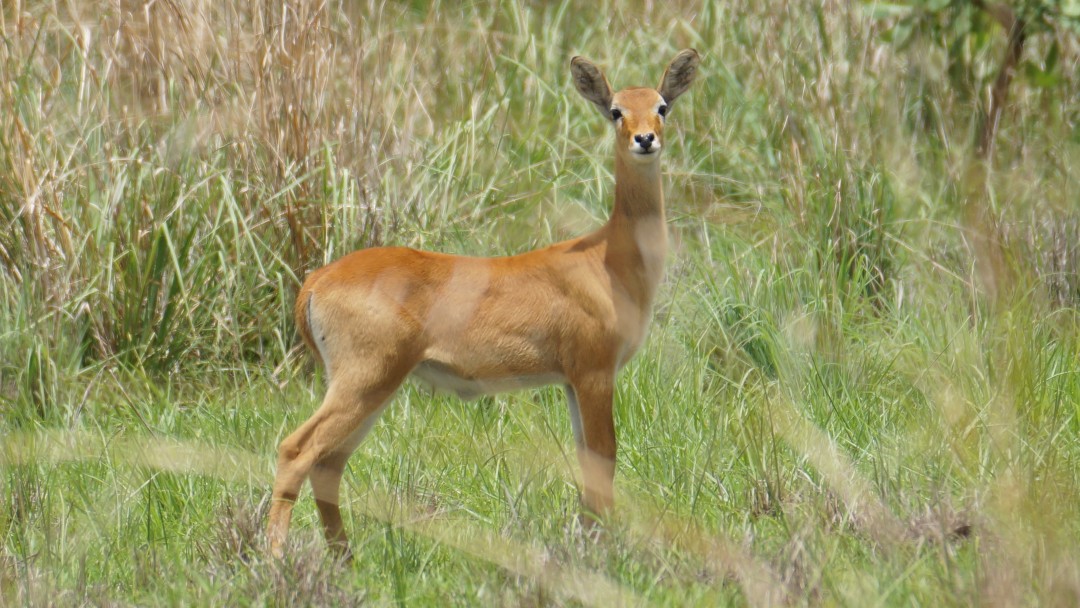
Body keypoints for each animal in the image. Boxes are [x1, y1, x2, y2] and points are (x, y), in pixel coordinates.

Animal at [272, 49, 699, 557]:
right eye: (615, 110)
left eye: (661, 106)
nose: (645, 139)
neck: (608, 260)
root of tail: (315, 280)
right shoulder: (594, 372)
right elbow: (604, 459)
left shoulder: (571, 381)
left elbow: (587, 463)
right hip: (365, 379)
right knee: (297, 451)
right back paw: (275, 558)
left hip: (368, 386)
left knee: (329, 463)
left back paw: (345, 560)